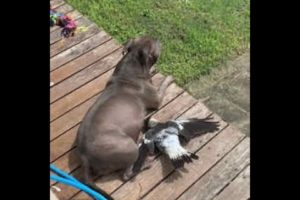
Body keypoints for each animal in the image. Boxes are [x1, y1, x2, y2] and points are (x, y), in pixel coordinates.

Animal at [76, 36, 172, 188]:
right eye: (153, 43)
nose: (158, 38)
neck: (133, 63)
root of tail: (84, 156)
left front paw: (153, 69)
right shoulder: (157, 98)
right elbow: (163, 85)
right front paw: (169, 78)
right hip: (128, 147)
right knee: (126, 174)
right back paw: (145, 164)